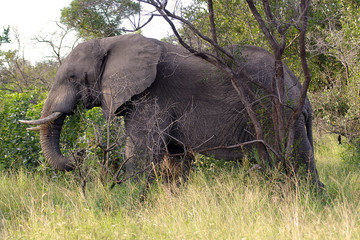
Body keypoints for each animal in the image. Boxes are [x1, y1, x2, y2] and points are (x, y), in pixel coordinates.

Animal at [20, 33, 324, 188]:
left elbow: (140, 150)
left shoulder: (153, 95)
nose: (79, 154)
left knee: (295, 154)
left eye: (73, 77)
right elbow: (173, 155)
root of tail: (297, 83)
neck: (112, 41)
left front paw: (130, 201)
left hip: (275, 109)